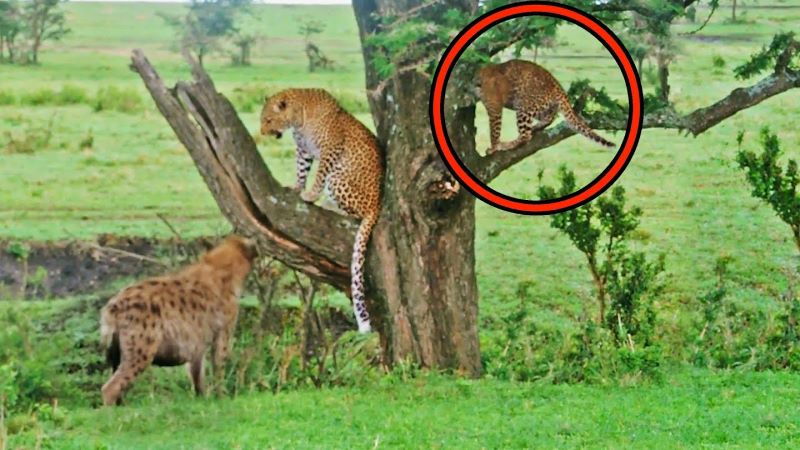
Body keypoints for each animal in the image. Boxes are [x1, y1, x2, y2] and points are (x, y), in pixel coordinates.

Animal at [97, 234, 256, 406]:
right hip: (141, 349)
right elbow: (219, 366)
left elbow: (197, 376)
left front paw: (202, 400)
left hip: (117, 351)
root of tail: (112, 306)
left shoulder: (197, 344)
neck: (223, 271)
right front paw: (222, 399)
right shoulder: (223, 331)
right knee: (111, 387)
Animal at [260, 88, 382, 334]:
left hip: (338, 177)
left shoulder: (329, 149)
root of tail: (377, 204)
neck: (298, 119)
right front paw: (296, 187)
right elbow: (301, 170)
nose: (261, 132)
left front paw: (310, 195)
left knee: (354, 211)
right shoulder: (303, 150)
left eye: (268, 120)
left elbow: (318, 175)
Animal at [478, 59, 616, 154]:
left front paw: (493, 148)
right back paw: (535, 127)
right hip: (539, 105)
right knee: (549, 117)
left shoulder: (494, 107)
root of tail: (556, 84)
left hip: (524, 105)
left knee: (526, 135)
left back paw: (507, 145)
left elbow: (494, 131)